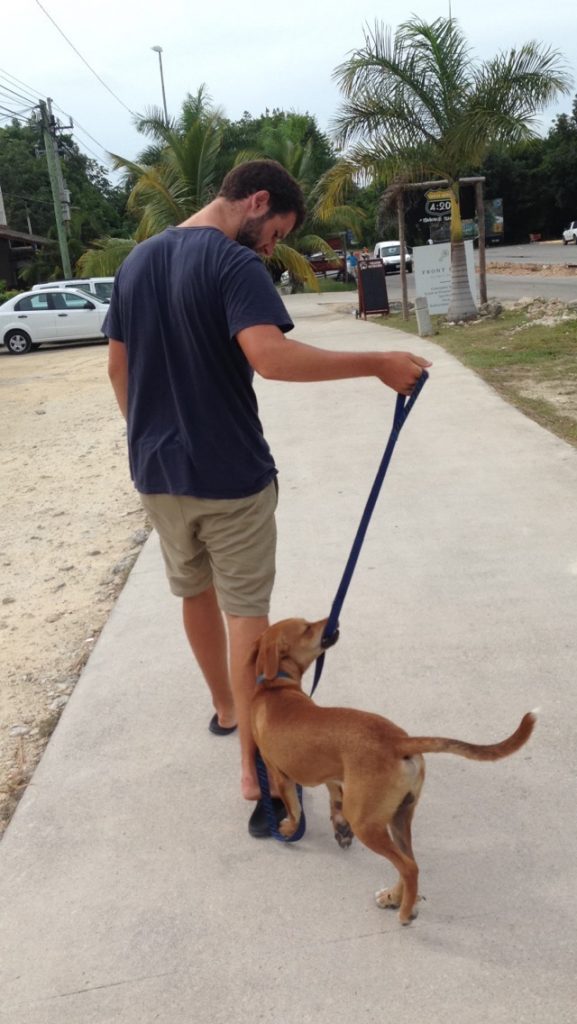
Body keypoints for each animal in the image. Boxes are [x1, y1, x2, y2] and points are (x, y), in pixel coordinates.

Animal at [251, 614, 541, 929]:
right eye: (306, 629)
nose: (332, 619)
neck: (275, 688)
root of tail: (398, 740)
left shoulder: (279, 772)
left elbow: (295, 809)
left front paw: (289, 830)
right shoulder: (334, 775)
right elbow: (334, 795)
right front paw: (339, 828)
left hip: (367, 823)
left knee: (408, 866)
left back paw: (404, 912)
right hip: (399, 816)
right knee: (409, 861)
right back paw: (395, 898)